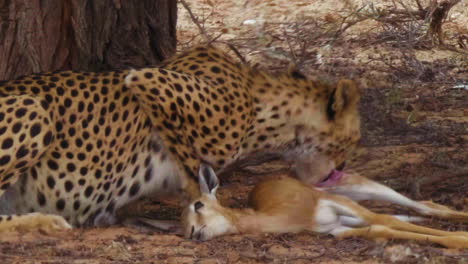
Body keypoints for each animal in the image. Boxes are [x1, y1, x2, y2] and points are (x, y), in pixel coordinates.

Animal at [0, 45, 362, 231]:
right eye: (353, 140)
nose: (341, 169)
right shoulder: (147, 77)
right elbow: (190, 163)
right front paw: (204, 205)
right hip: (35, 110)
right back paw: (47, 221)